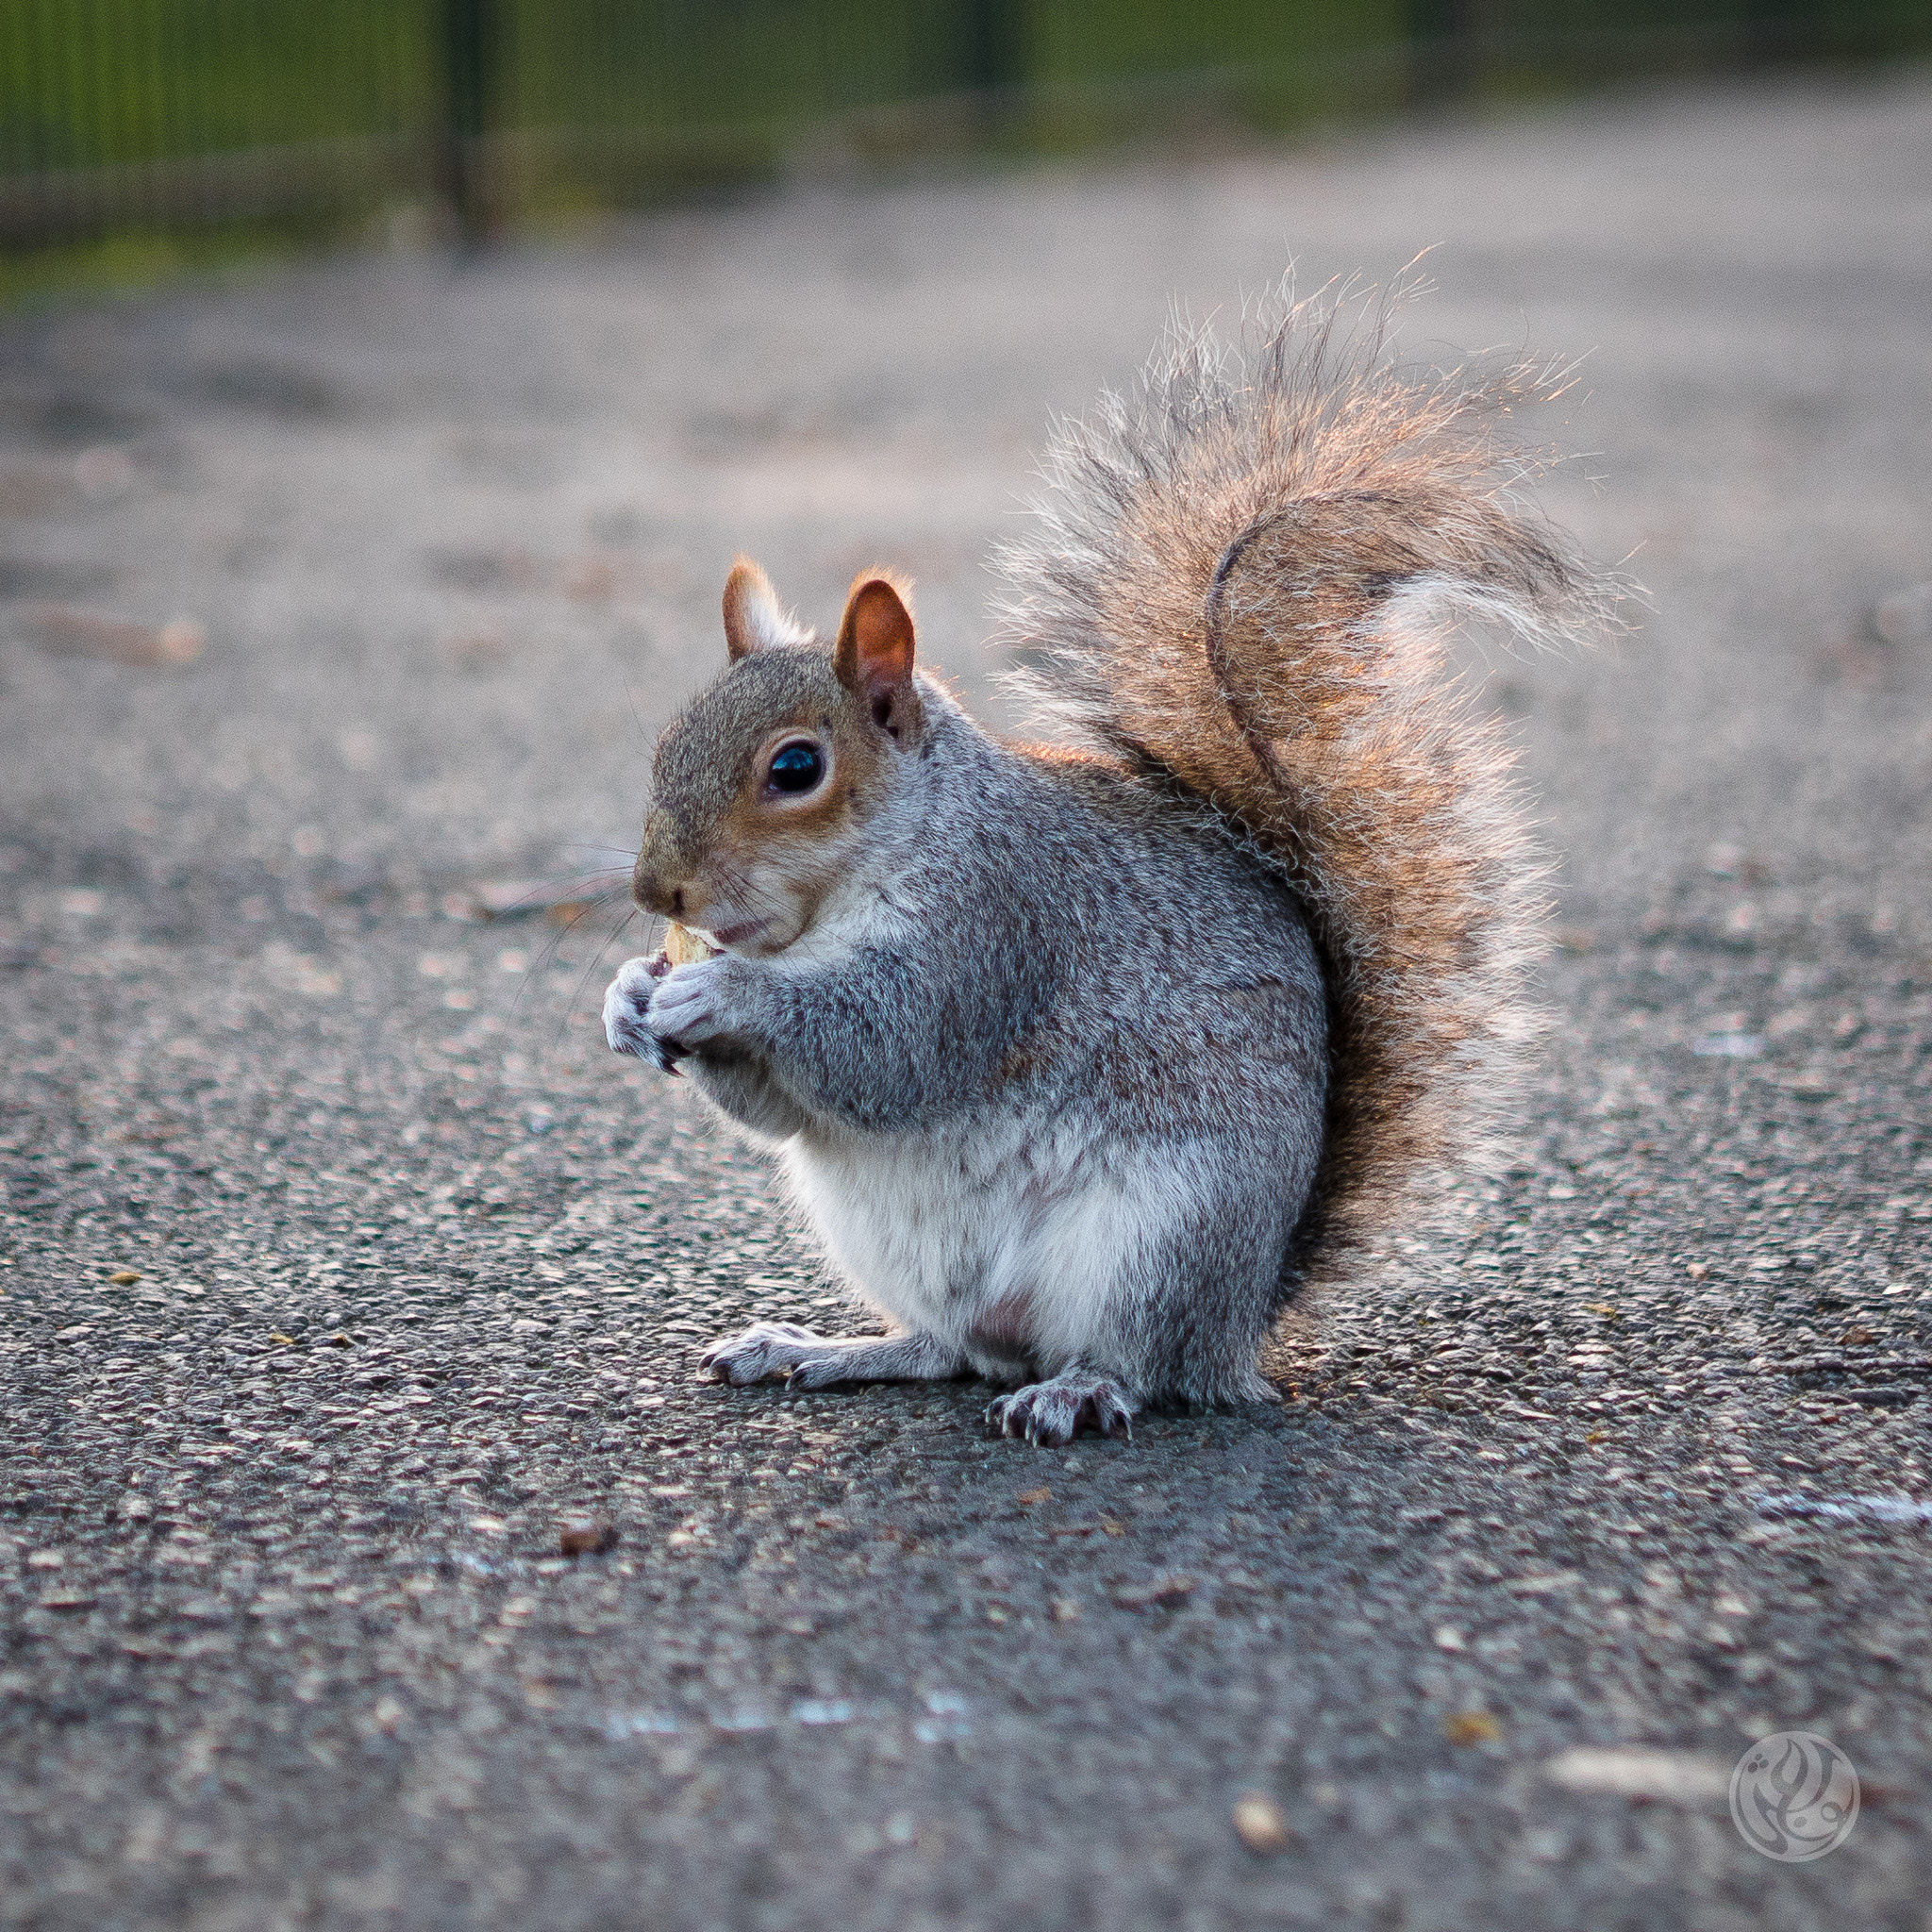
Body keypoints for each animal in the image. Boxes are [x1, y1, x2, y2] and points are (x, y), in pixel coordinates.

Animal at [602, 279, 1615, 1444]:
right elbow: (783, 1106)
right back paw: (826, 1348)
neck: (851, 888)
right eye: (666, 739)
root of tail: (1245, 1314)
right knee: (950, 1350)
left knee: (1137, 1364)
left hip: (1156, 1238)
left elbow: (888, 1045)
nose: (655, 890)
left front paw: (720, 990)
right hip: (897, 1242)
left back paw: (1077, 1389)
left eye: (796, 767)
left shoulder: (999, 925)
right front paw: (628, 993)